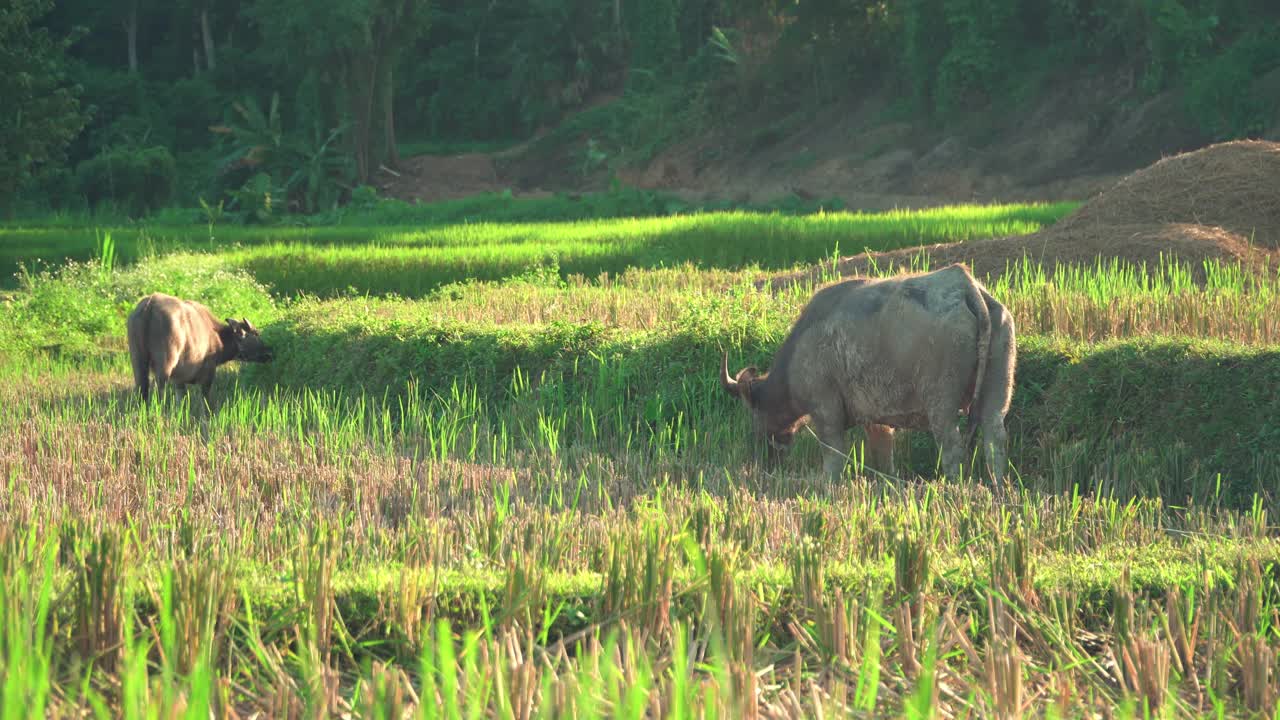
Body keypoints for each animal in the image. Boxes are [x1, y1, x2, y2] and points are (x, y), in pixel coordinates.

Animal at [125, 293, 272, 404]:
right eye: (256, 334)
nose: (269, 353)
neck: (217, 337)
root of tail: (149, 305)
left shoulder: (179, 380)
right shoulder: (207, 375)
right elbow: (205, 402)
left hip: (137, 361)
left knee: (142, 391)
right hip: (165, 365)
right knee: (159, 392)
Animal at [727, 262, 1013, 476]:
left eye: (754, 413)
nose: (762, 461)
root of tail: (965, 286)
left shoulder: (825, 411)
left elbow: (833, 457)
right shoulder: (876, 421)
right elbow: (884, 459)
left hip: (941, 404)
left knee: (952, 446)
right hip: (998, 388)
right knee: (995, 437)